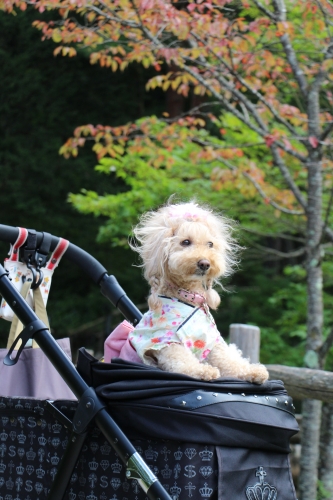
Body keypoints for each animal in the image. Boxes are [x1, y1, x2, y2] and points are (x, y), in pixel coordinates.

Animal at [127, 199, 268, 382]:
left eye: (210, 244)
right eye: (185, 242)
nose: (205, 263)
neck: (188, 295)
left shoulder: (212, 341)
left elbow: (228, 360)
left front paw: (253, 371)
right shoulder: (165, 341)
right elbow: (182, 361)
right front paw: (204, 371)